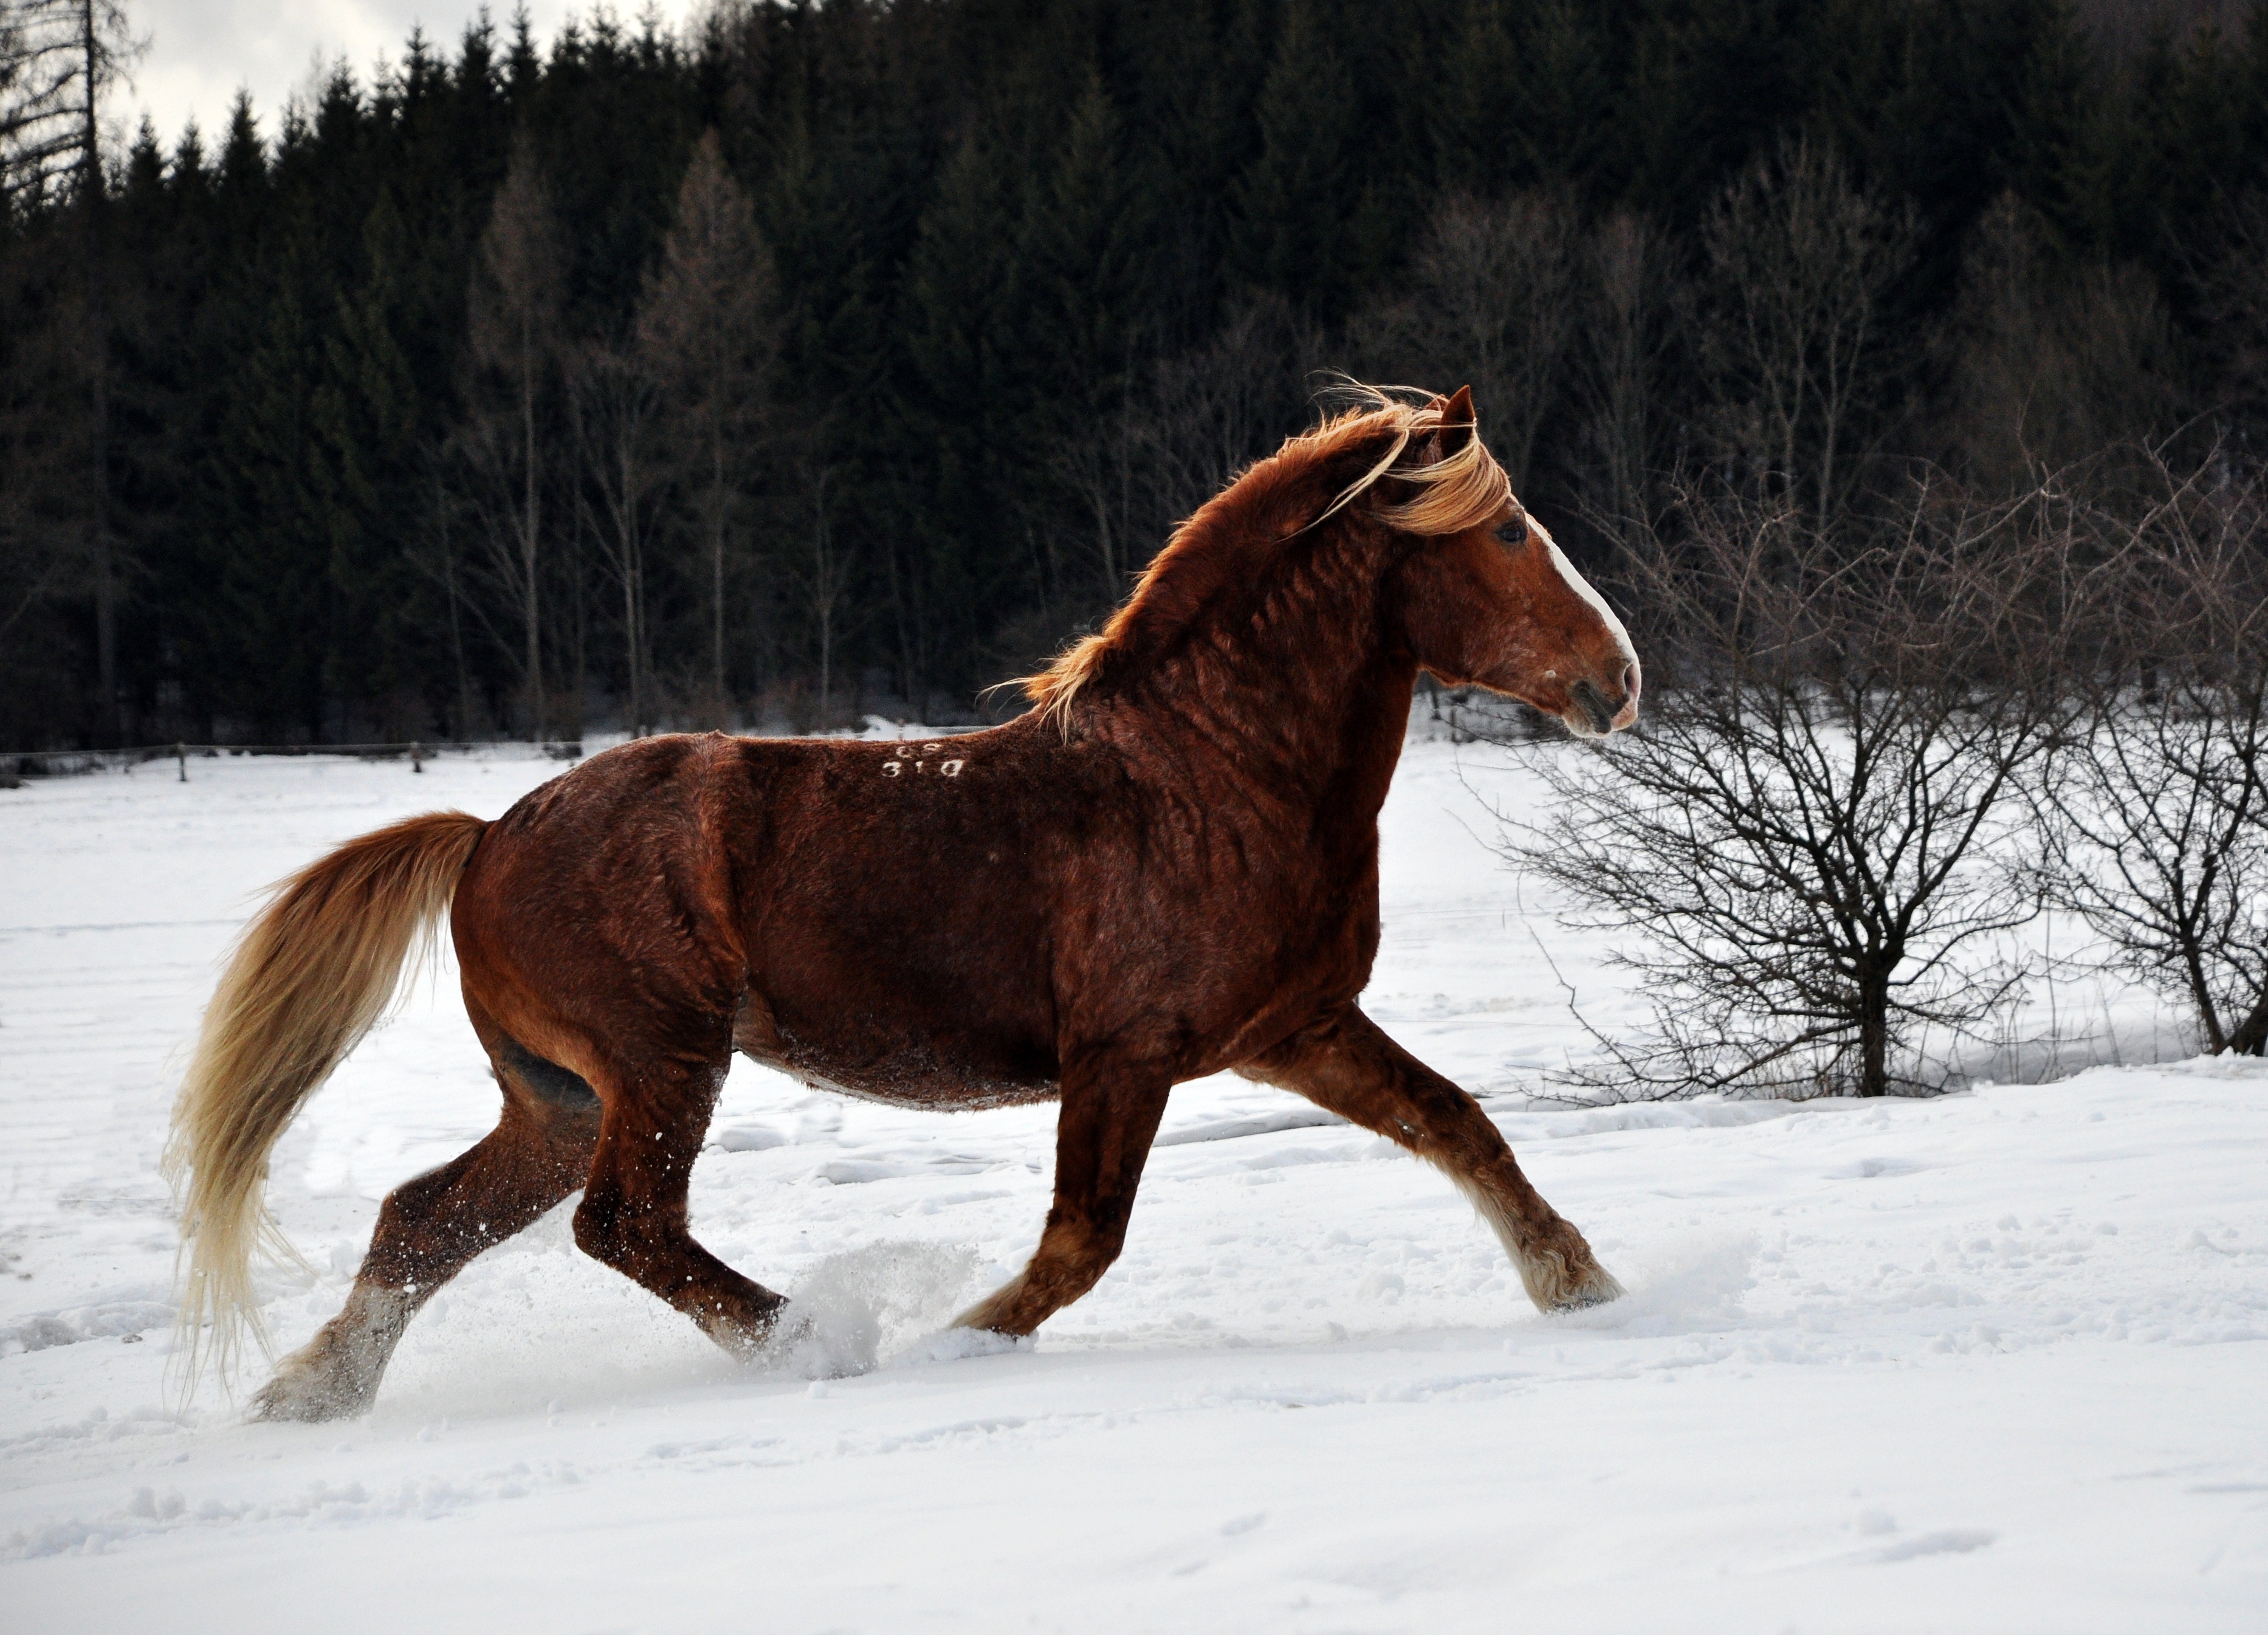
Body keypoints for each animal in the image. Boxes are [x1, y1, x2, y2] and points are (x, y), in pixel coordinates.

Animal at [168, 385, 1641, 1415]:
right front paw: (954, 1347)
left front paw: (1588, 1288)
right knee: (624, 1225)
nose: (1619, 678)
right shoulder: (1126, 1056)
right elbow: (1080, 1242)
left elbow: (1464, 1130)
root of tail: (485, 836)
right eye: (1508, 529)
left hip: (560, 1096)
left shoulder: (1295, 1028)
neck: (1210, 772)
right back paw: (814, 1341)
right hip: (662, 1062)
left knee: (428, 1220)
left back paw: (311, 1397)